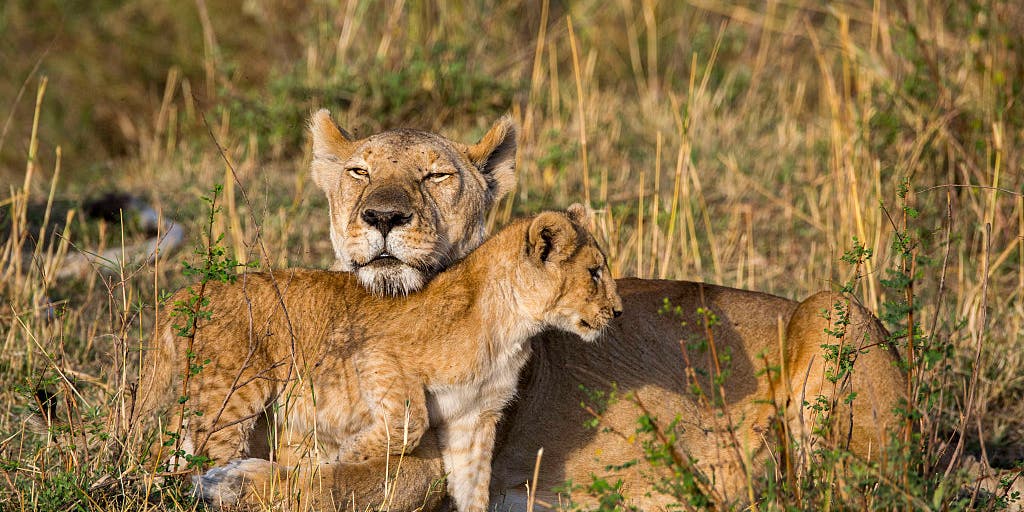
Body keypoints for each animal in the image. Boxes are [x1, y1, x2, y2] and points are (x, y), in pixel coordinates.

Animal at [142, 206, 621, 512]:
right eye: (595, 272)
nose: (617, 312)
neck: (514, 327)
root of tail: (184, 294)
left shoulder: (474, 419)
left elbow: (472, 486)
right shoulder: (377, 355)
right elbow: (408, 425)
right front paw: (347, 455)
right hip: (232, 397)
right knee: (201, 462)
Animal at [193, 111, 907, 510]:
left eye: (436, 176)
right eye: (359, 173)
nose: (384, 218)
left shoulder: (434, 464)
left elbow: (333, 483)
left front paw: (224, 483)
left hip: (832, 309)